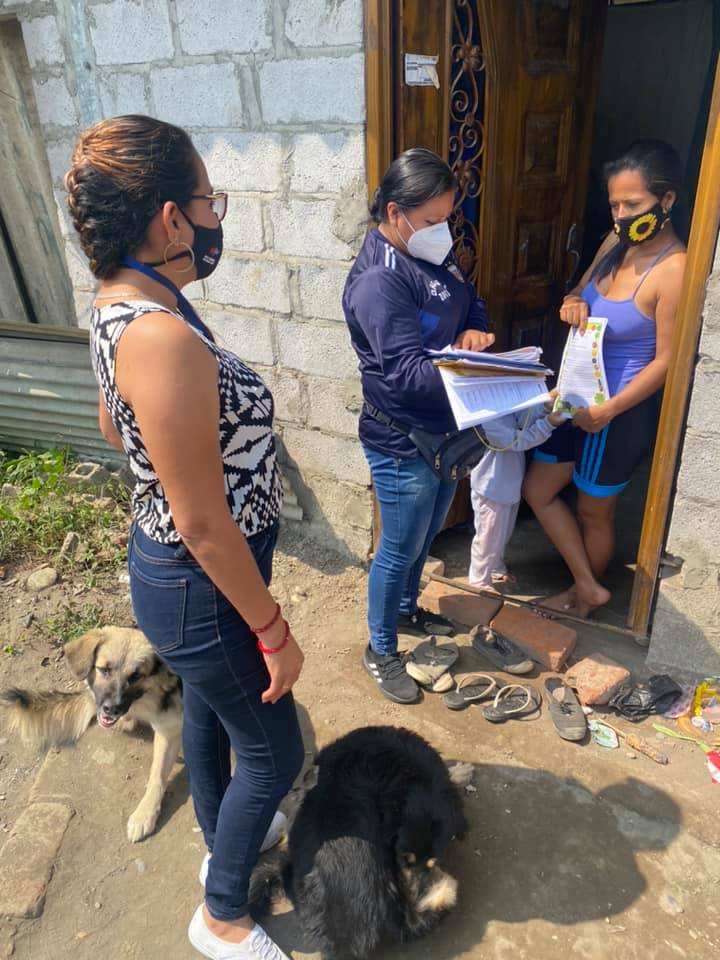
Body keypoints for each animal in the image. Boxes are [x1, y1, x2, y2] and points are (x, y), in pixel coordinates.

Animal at [0, 626, 182, 842]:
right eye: (104, 670)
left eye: (136, 676)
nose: (112, 708)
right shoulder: (167, 730)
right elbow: (157, 776)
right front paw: (144, 814)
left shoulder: (170, 729)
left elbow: (158, 776)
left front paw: (145, 814)